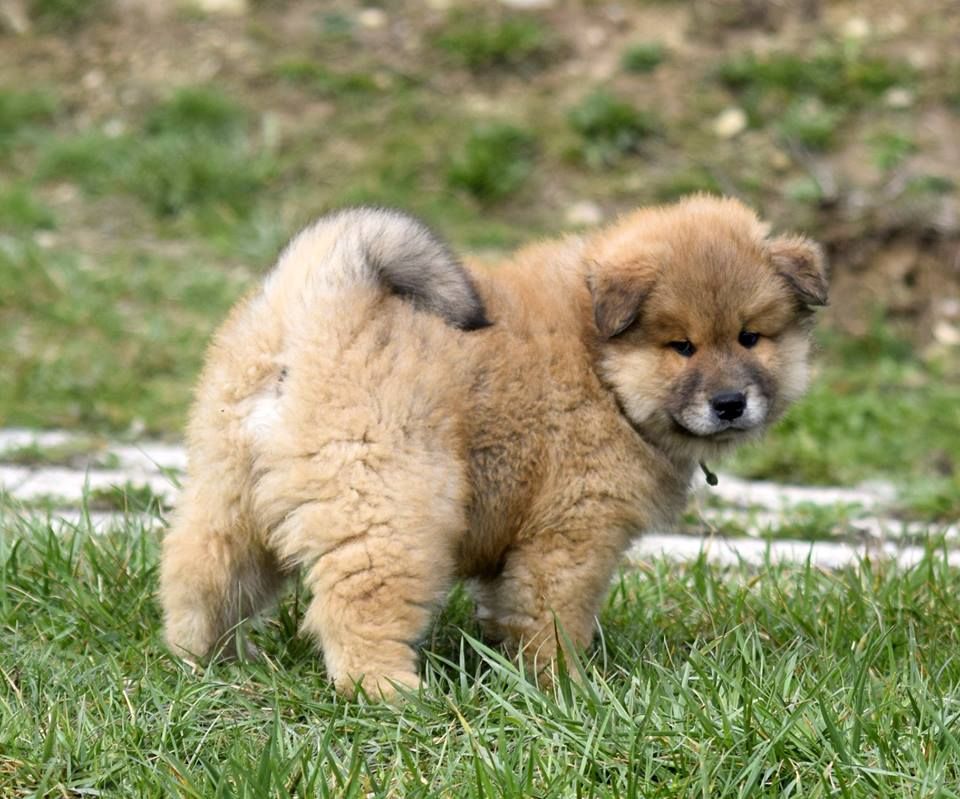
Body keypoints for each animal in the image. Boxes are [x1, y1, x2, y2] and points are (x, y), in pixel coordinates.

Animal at [158, 197, 824, 696]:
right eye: (682, 347)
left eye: (750, 337)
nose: (730, 402)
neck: (601, 367)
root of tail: (320, 306)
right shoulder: (571, 536)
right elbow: (554, 620)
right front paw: (569, 690)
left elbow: (509, 613)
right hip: (391, 505)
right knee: (356, 607)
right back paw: (391, 692)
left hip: (228, 490)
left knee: (200, 573)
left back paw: (200, 663)